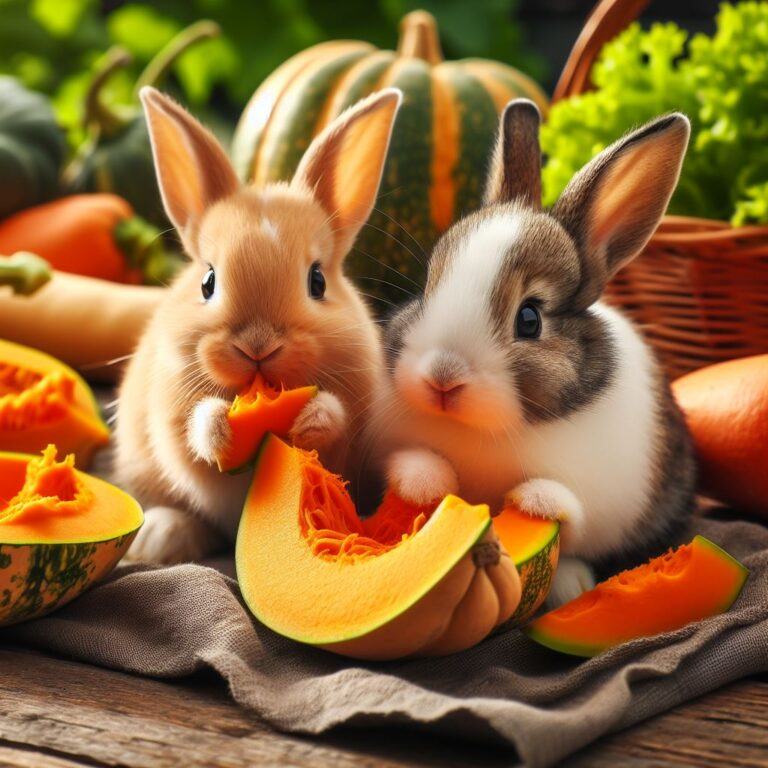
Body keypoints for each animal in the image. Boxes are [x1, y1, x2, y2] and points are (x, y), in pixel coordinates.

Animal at [116, 85, 402, 564]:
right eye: (208, 282)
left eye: (318, 281)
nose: (258, 346)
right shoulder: (171, 415)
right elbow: (193, 446)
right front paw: (218, 427)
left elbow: (337, 427)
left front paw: (313, 419)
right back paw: (159, 537)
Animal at [368, 100, 700, 608]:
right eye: (426, 289)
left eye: (530, 319)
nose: (442, 377)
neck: (480, 431)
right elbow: (408, 463)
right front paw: (425, 481)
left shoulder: (599, 499)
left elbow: (570, 515)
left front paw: (537, 500)